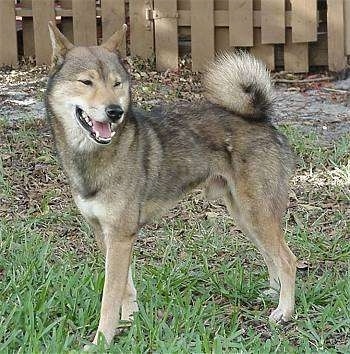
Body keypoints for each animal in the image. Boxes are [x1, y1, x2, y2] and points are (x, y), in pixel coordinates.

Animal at [45, 21, 296, 346]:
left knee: (287, 260)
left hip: (257, 213)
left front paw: (102, 340)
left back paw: (285, 311)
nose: (115, 111)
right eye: (86, 82)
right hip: (245, 215)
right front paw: (130, 322)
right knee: (271, 256)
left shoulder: (120, 235)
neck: (97, 154)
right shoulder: (106, 234)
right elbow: (125, 287)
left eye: (116, 83)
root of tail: (261, 119)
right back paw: (273, 294)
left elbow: (110, 297)